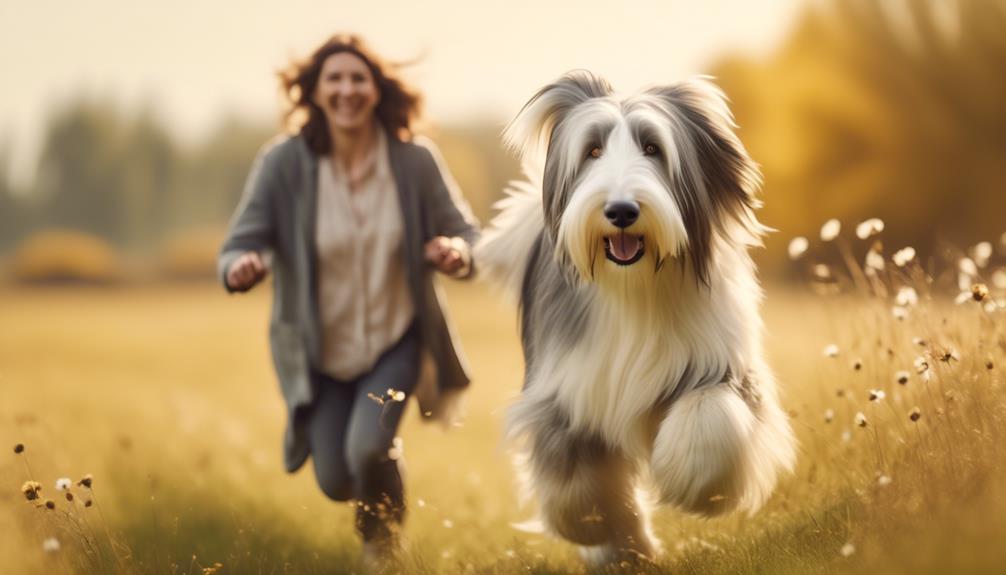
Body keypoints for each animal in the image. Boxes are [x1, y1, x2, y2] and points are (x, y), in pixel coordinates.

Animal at [474, 70, 796, 562]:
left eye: (653, 148)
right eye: (592, 150)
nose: (621, 211)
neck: (634, 287)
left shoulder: (721, 361)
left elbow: (710, 412)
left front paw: (694, 484)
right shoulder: (566, 387)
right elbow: (576, 478)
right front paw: (595, 527)